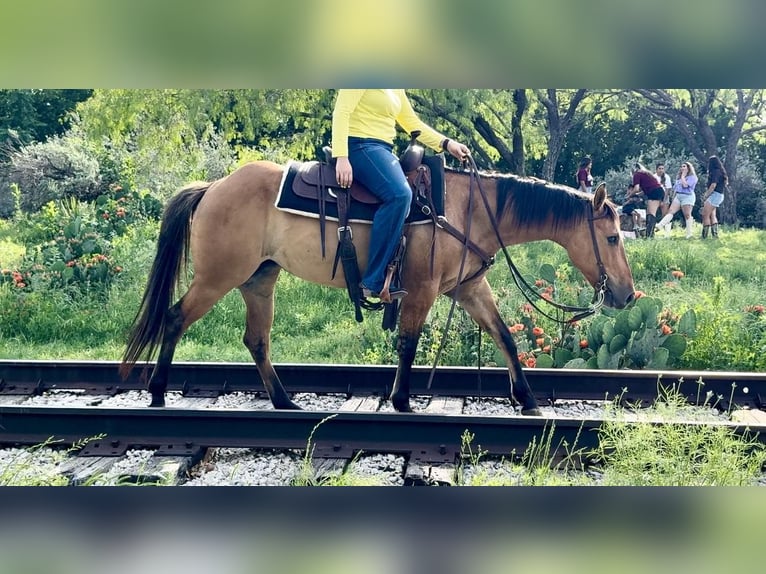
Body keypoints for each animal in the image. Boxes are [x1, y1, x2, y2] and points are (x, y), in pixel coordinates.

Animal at [120, 158, 636, 418]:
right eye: (612, 237)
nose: (627, 295)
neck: (469, 209)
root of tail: (213, 187)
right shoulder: (421, 290)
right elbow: (408, 342)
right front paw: (403, 400)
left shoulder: (469, 289)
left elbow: (505, 336)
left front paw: (527, 399)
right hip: (218, 277)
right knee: (175, 318)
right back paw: (159, 393)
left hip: (259, 279)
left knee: (257, 339)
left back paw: (285, 400)